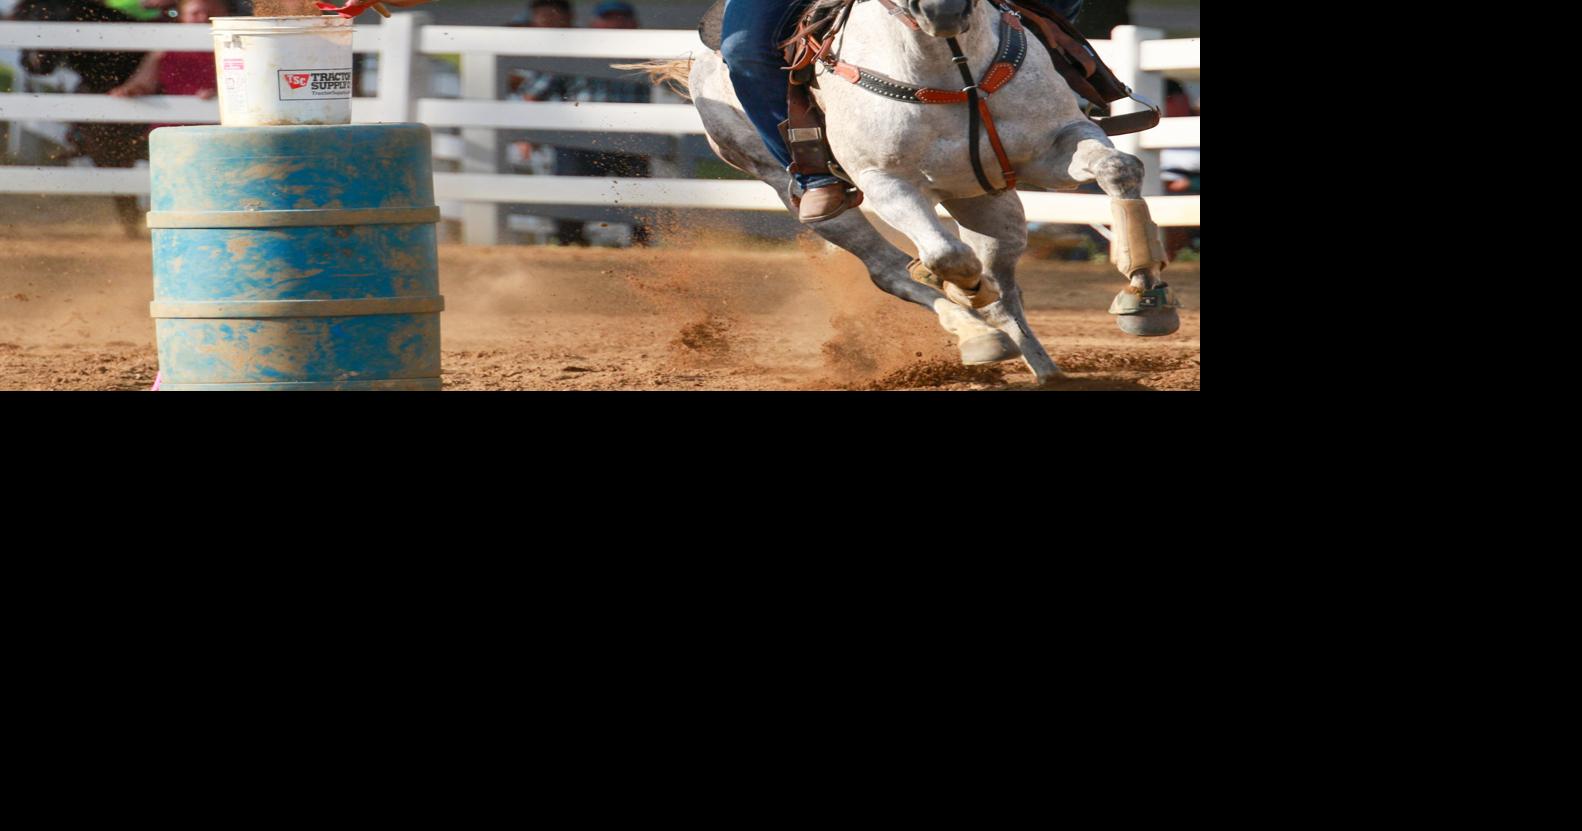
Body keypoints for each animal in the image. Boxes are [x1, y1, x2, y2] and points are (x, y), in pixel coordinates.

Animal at [632, 0, 1177, 383]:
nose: (942, 9)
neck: (949, 64)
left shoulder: (1055, 143)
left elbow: (1120, 168)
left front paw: (1144, 296)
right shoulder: (886, 181)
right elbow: (945, 258)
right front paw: (964, 301)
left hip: (989, 201)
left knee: (1005, 286)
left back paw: (1044, 368)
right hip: (808, 197)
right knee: (894, 270)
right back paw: (974, 331)